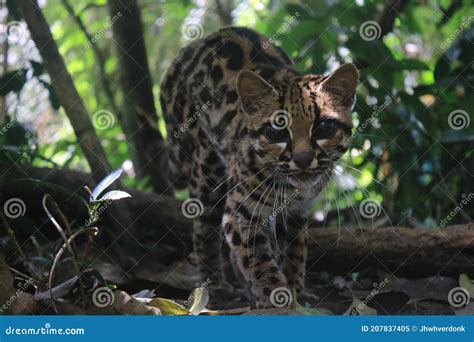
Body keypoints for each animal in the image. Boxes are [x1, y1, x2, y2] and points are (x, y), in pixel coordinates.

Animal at [161, 26, 358, 308]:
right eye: (277, 130)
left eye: (324, 128)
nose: (302, 158)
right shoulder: (241, 214)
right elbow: (260, 262)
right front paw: (279, 301)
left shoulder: (299, 212)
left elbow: (295, 250)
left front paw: (296, 290)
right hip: (207, 169)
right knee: (204, 229)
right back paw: (216, 285)